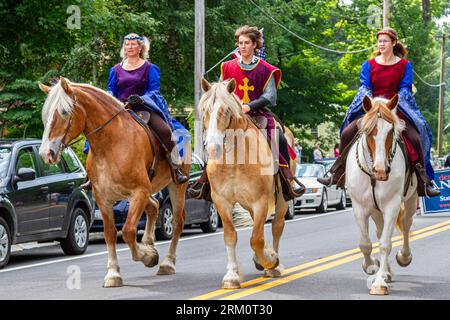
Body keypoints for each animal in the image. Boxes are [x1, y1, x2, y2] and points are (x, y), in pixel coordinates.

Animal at [39, 77, 192, 288]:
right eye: (45, 114)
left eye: (63, 112)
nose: (46, 153)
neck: (110, 143)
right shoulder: (103, 198)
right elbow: (110, 233)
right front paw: (113, 273)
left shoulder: (138, 192)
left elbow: (127, 231)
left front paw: (148, 257)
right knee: (154, 206)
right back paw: (148, 241)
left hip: (177, 185)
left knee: (177, 221)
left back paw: (167, 263)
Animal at [200, 79, 296, 288]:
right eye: (204, 110)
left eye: (226, 110)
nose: (212, 147)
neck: (235, 161)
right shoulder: (222, 201)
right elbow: (230, 235)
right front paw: (231, 276)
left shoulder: (260, 201)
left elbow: (256, 239)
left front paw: (270, 260)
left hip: (282, 199)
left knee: (276, 226)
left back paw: (273, 264)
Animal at [346, 94, 420, 296]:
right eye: (368, 131)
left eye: (391, 131)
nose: (380, 171)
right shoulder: (359, 207)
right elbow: (365, 243)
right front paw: (371, 267)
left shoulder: (392, 205)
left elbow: (385, 243)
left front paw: (379, 283)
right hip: (376, 210)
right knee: (379, 232)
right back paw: (386, 271)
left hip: (411, 200)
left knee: (406, 225)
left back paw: (404, 257)